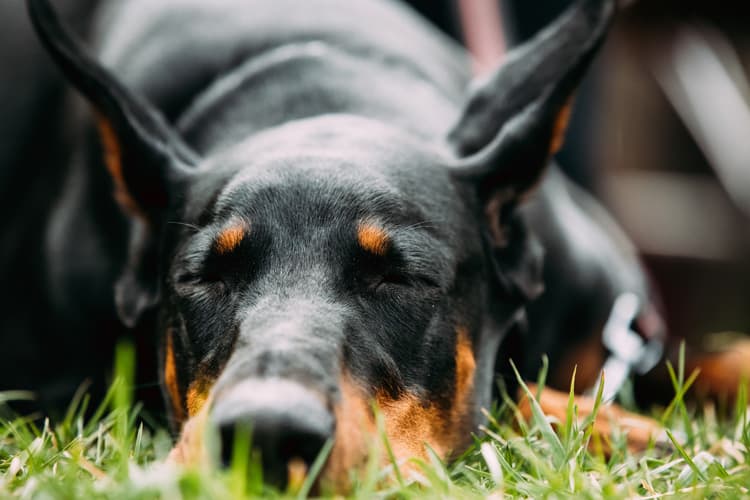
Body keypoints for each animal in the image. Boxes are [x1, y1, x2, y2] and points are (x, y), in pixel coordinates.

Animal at [7, 0, 748, 488]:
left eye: (403, 278)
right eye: (203, 278)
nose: (266, 436)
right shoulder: (57, 386)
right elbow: (506, 397)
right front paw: (625, 430)